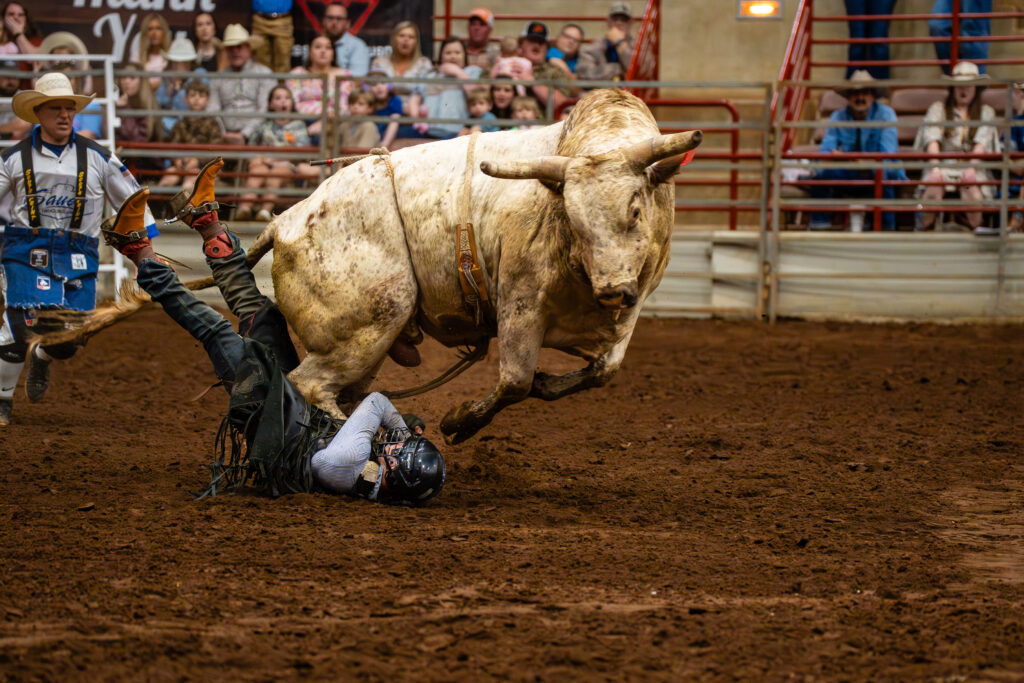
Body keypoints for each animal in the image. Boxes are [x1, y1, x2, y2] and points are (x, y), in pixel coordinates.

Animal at [250, 88, 701, 443]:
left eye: (636, 210)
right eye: (571, 215)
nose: (611, 290)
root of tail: (283, 223)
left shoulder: (631, 305)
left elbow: (605, 369)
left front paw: (547, 383)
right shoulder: (521, 304)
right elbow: (516, 382)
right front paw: (460, 422)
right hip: (369, 323)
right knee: (310, 385)